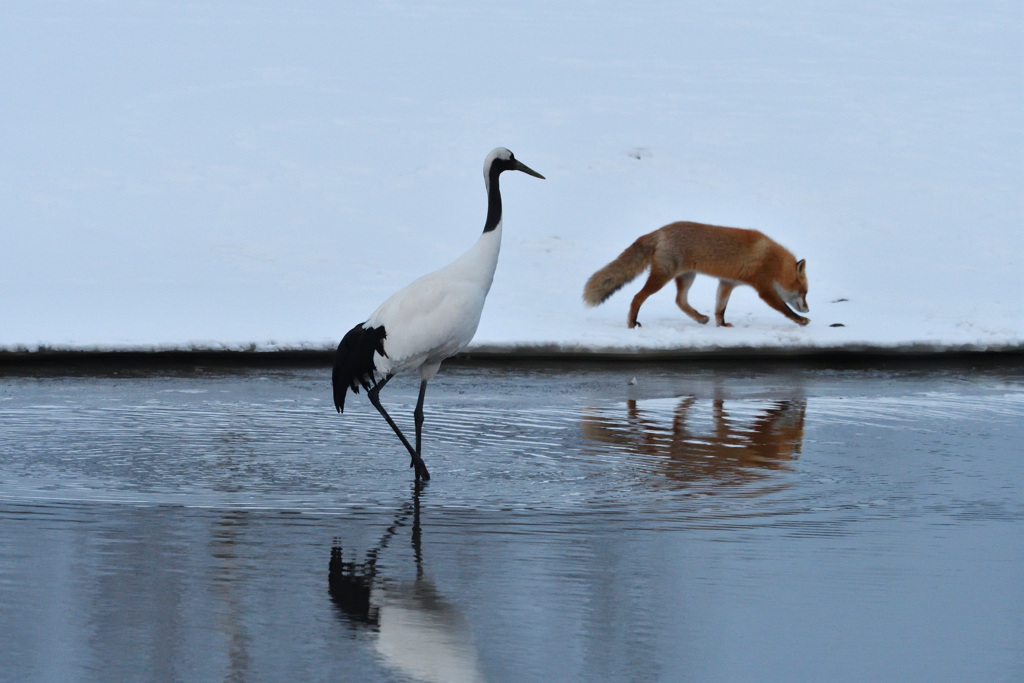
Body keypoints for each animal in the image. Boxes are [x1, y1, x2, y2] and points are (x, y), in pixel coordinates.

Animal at [585, 222, 806, 327]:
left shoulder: (727, 282)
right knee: (637, 297)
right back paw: (632, 322)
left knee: (680, 301)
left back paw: (699, 318)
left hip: (687, 277)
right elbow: (784, 308)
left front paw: (722, 325)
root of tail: (660, 230)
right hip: (662, 277)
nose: (808, 309)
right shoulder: (764, 289)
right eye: (804, 292)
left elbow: (720, 309)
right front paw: (801, 320)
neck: (773, 261)